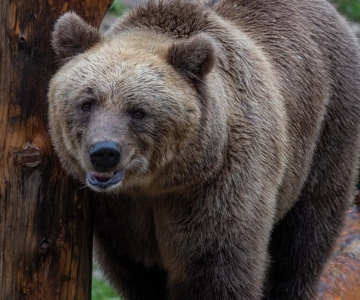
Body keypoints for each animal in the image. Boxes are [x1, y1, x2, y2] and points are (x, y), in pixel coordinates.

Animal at [47, 0, 360, 300]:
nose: (104, 152)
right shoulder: (120, 217)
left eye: (138, 111)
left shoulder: (218, 192)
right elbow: (137, 274)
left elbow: (217, 273)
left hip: (327, 123)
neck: (158, 185)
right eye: (87, 102)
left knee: (308, 229)